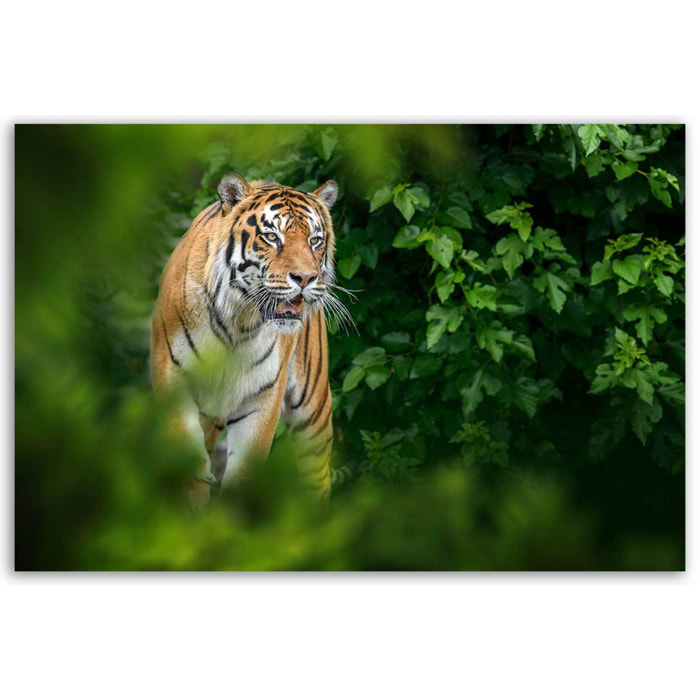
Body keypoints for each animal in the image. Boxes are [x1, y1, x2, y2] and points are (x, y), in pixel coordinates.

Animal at [150, 172, 340, 508]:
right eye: (272, 237)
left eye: (314, 240)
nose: (306, 278)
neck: (238, 323)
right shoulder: (173, 379)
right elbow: (191, 469)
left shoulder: (263, 396)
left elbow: (243, 474)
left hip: (313, 412)